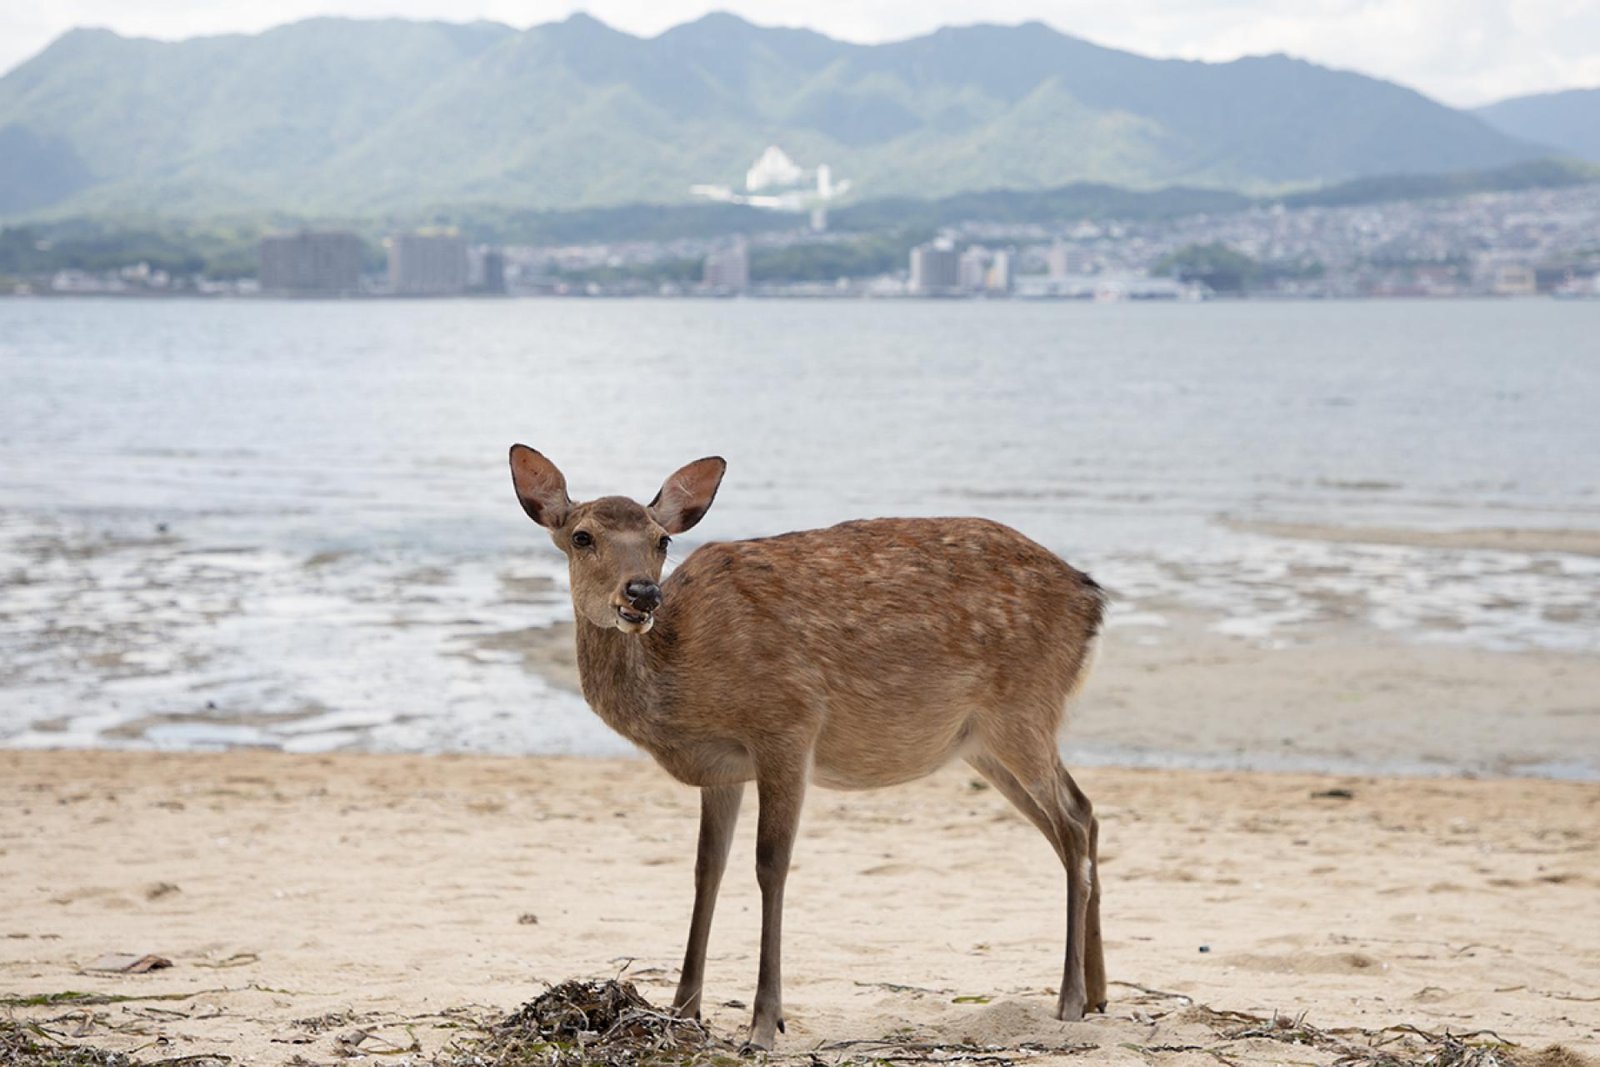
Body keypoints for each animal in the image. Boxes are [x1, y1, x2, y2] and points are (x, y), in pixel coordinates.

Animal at [507, 446, 1108, 1052]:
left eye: (662, 540)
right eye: (582, 536)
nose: (642, 594)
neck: (683, 682)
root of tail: (1092, 599)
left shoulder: (788, 725)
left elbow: (770, 863)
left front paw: (764, 1024)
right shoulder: (722, 770)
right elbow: (707, 868)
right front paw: (683, 1011)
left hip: (1024, 710)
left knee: (1071, 822)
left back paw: (1070, 998)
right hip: (984, 740)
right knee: (1079, 816)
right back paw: (1099, 993)